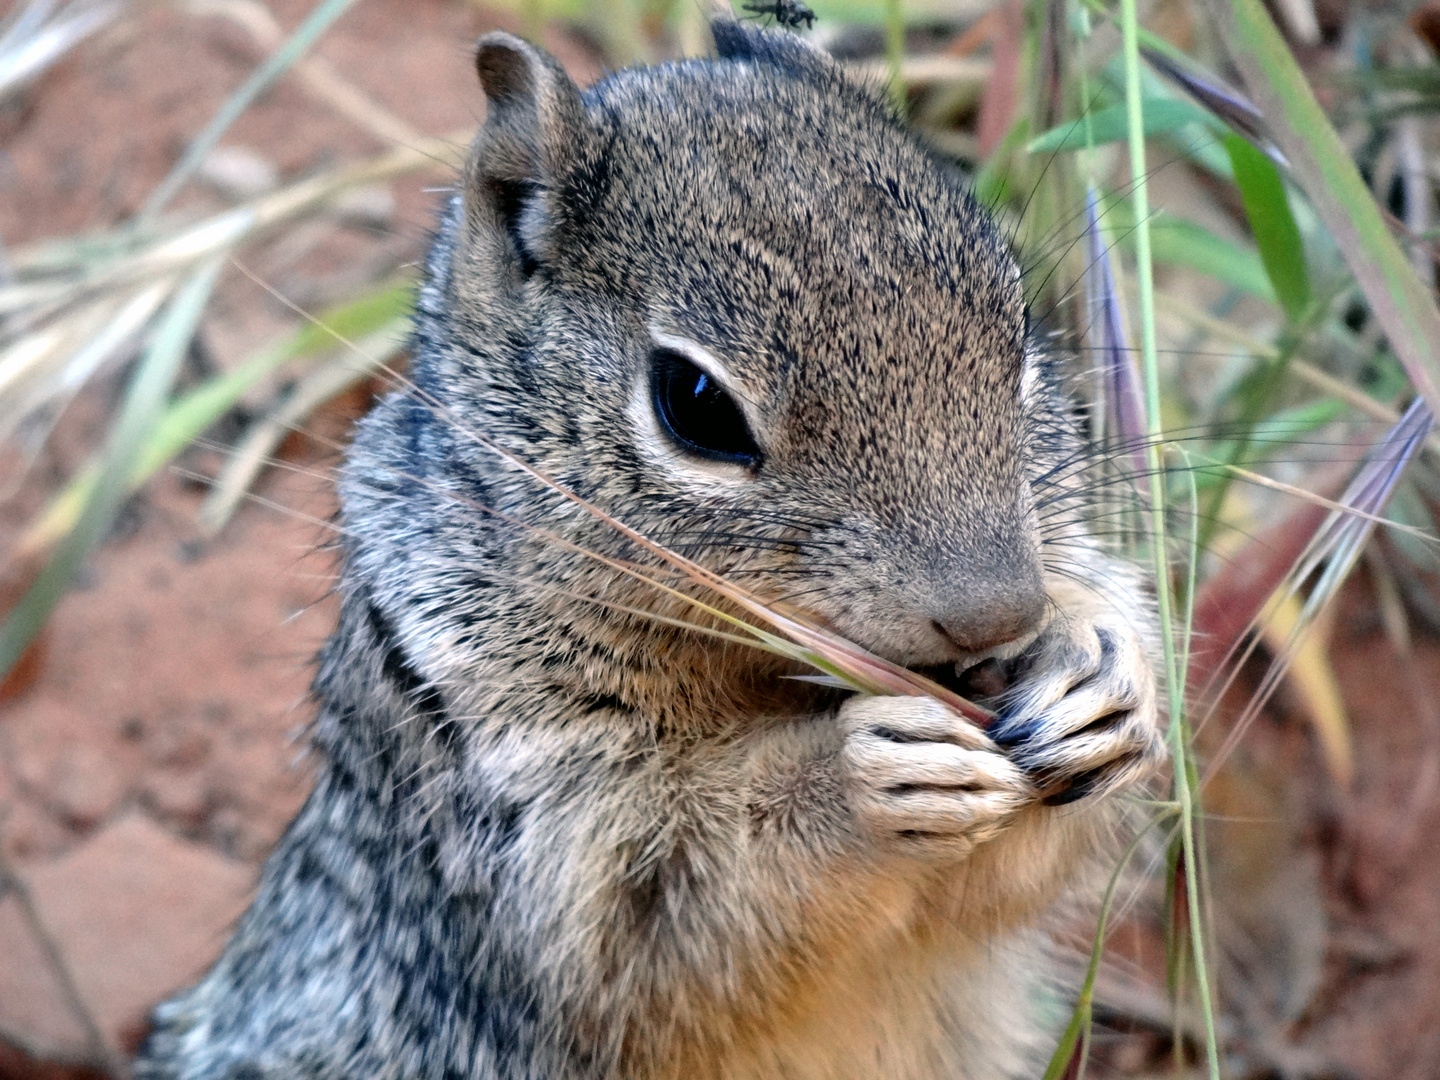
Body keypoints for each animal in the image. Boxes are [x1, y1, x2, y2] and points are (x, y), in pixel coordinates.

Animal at [137, 19, 1169, 1080]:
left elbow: (1011, 872)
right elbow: (666, 921)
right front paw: (861, 781)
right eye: (697, 404)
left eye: (1023, 332)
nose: (999, 613)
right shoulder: (527, 802)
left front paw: (1101, 674)